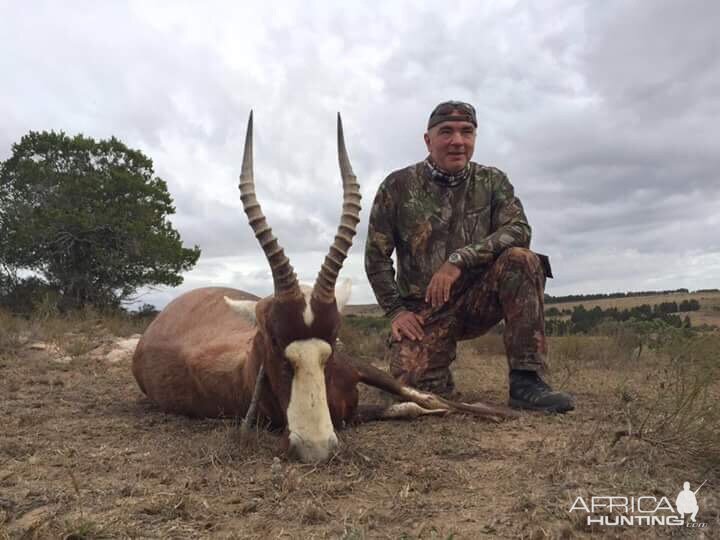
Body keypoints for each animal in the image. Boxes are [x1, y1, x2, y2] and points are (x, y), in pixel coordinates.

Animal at [131, 112, 516, 462]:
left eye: (332, 338)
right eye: (273, 341)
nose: (315, 448)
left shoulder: (358, 368)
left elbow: (422, 399)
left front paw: (498, 411)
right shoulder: (349, 413)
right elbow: (410, 406)